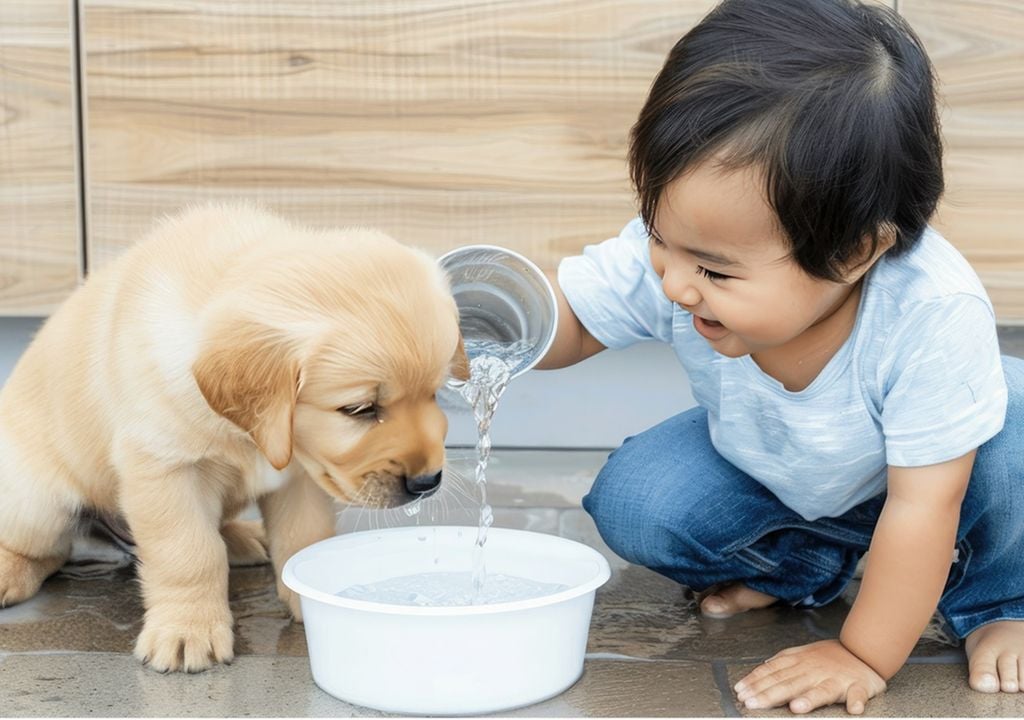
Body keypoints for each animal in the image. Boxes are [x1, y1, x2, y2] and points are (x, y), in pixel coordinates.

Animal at [0, 201, 468, 671]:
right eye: (359, 409)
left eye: (434, 393)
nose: (427, 483)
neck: (249, 435)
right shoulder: (165, 469)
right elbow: (189, 552)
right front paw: (188, 629)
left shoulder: (301, 477)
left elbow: (302, 536)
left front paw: (308, 596)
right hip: (39, 500)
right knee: (47, 549)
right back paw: (9, 573)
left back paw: (244, 537)